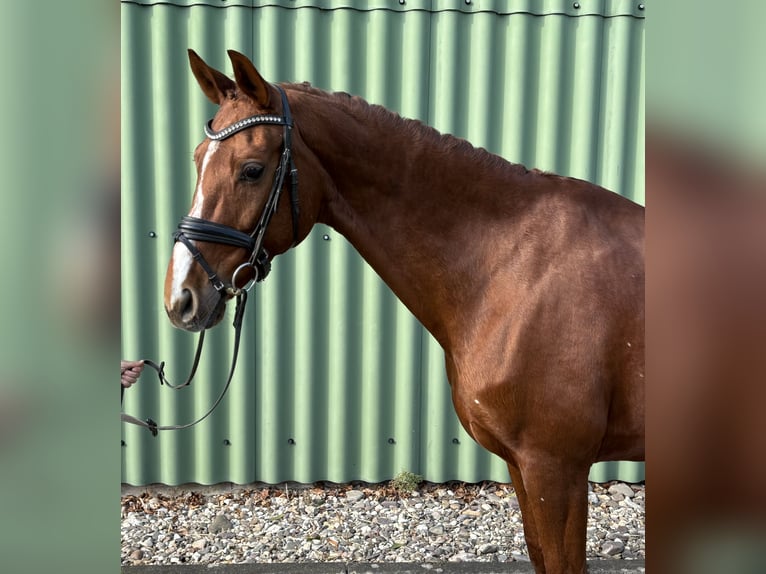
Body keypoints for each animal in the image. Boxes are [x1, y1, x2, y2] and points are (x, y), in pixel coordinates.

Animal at [165, 50, 644, 574]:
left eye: (251, 169)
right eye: (196, 159)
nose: (180, 298)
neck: (513, 265)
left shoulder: (555, 468)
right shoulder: (523, 466)